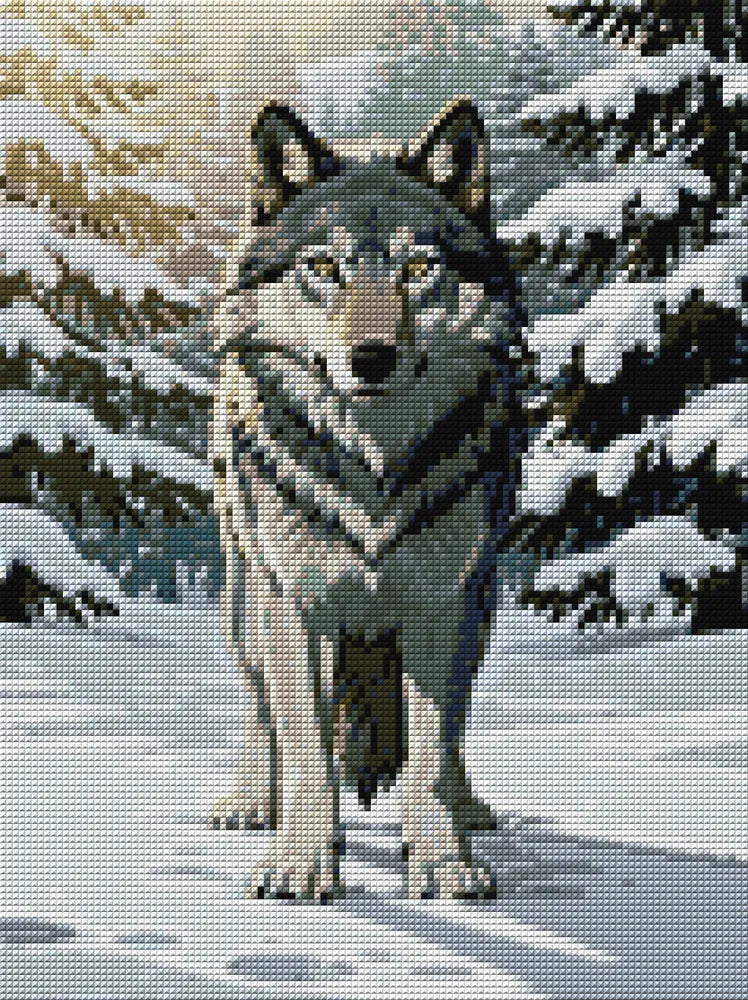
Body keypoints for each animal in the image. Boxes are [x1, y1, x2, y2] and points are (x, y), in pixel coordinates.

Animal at [210, 98, 524, 899]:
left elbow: (431, 746)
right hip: (243, 593)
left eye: (419, 269)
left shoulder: (443, 604)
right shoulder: (295, 603)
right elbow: (305, 743)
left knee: (453, 728)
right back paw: (250, 800)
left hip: (483, 605)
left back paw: (470, 810)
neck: (373, 473)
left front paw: (443, 859)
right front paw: (299, 862)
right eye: (324, 268)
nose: (371, 358)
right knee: (257, 703)